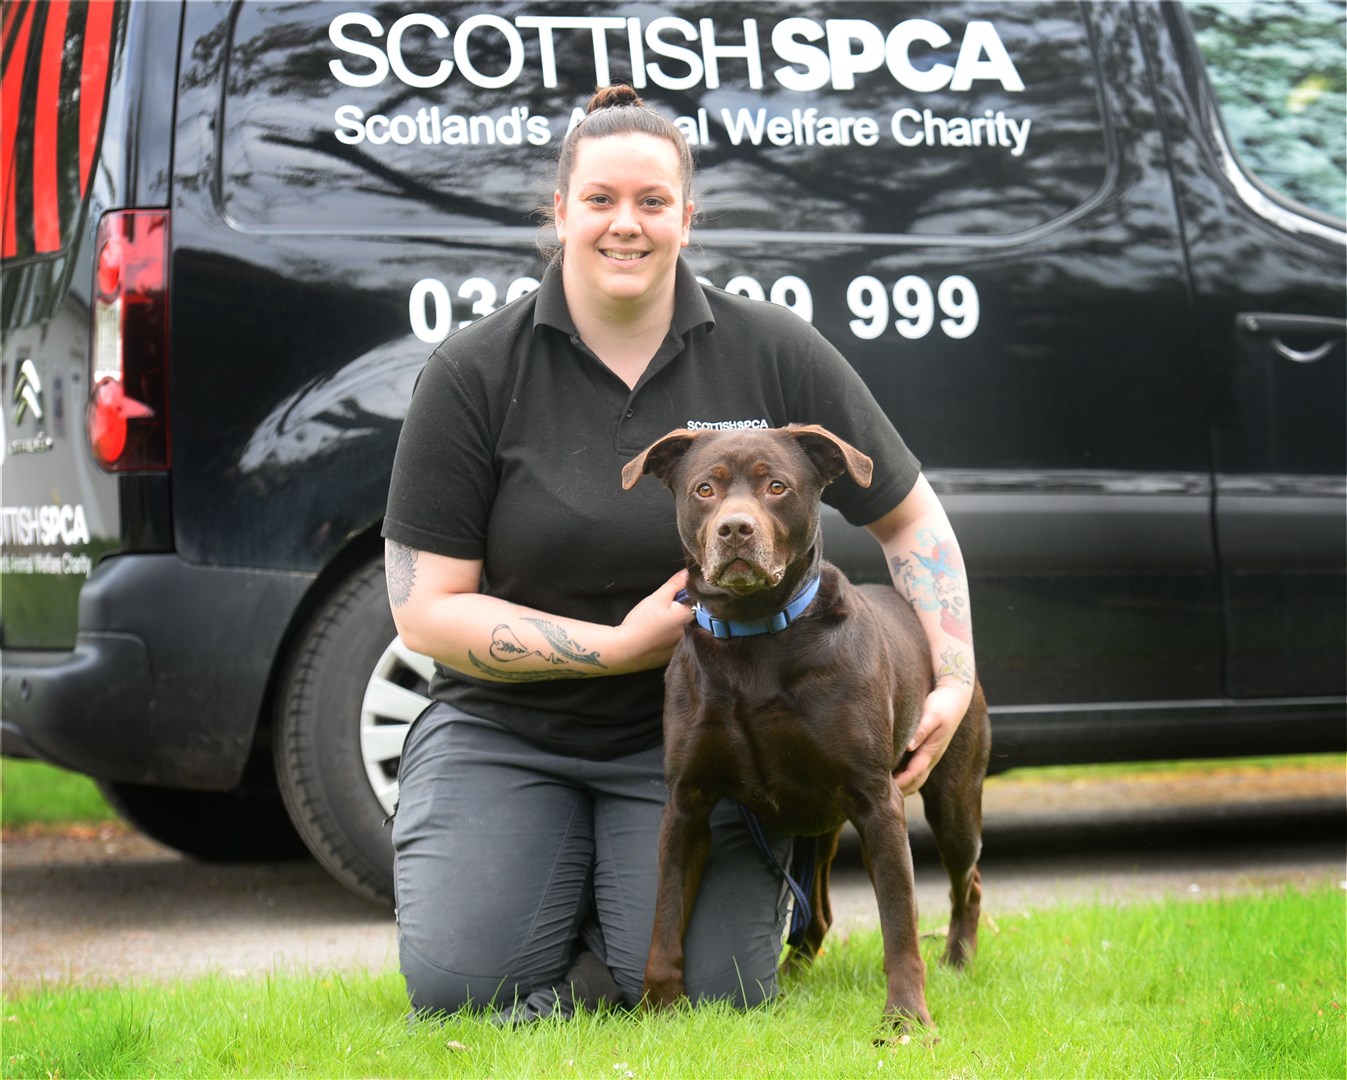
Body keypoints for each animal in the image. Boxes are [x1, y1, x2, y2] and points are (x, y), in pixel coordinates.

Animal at [619, 420, 991, 1028]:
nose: (735, 529)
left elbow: (899, 924)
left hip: (952, 799)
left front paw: (907, 1020)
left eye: (776, 486)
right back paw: (793, 972)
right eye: (704, 490)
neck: (753, 640)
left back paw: (958, 959)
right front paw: (659, 1008)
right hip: (822, 828)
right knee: (816, 912)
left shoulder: (877, 802)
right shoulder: (687, 802)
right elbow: (665, 918)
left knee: (970, 881)